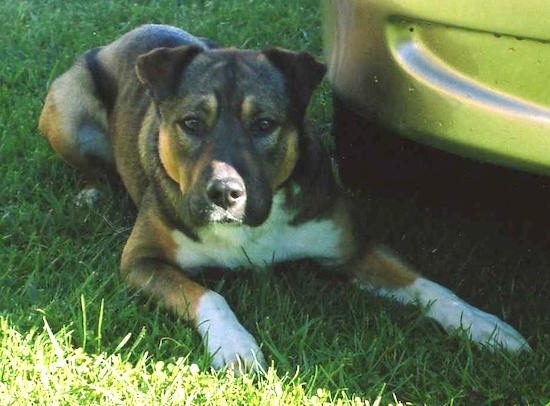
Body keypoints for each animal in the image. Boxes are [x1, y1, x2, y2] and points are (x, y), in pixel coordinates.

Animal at [37, 24, 532, 374]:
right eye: (191, 123)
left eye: (265, 124)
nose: (224, 193)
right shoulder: (141, 261)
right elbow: (208, 295)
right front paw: (235, 346)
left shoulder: (350, 247)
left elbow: (426, 284)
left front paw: (484, 325)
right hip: (64, 109)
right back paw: (91, 193)